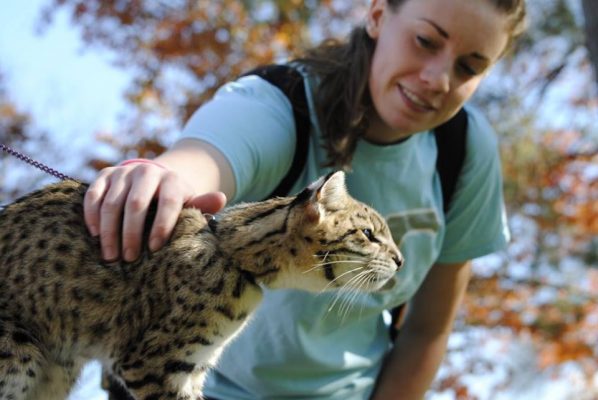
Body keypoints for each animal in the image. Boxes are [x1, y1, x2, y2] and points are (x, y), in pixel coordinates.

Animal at [0, 171, 402, 400]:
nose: (401, 259)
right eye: (369, 235)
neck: (231, 256)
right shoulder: (148, 363)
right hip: (18, 355)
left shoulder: (191, 370)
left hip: (55, 373)